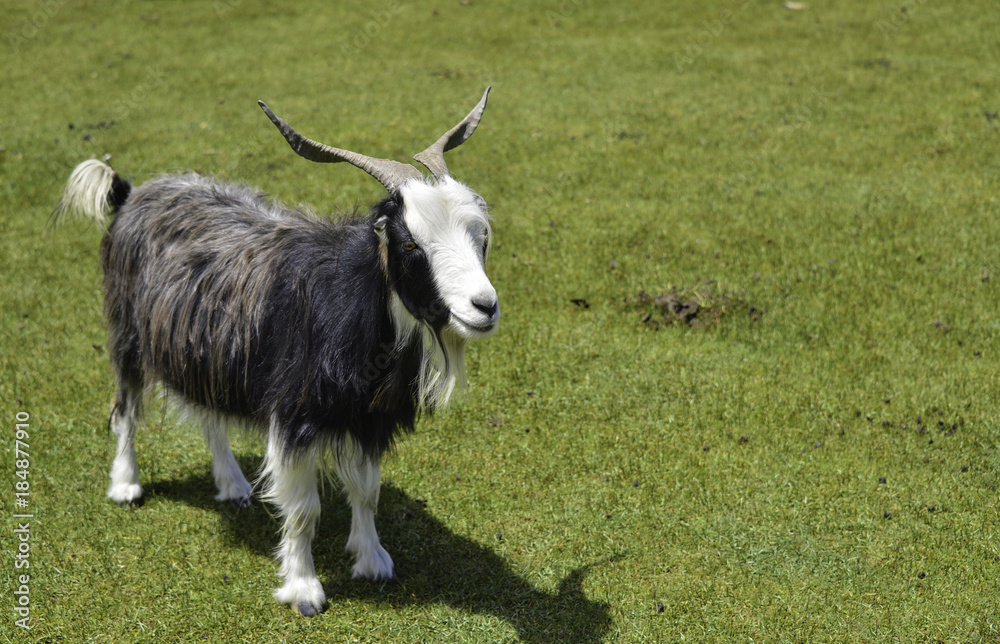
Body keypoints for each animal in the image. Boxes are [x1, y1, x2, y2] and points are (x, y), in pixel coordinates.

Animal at [56, 88, 498, 616]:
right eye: (411, 244)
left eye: (481, 234)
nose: (485, 306)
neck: (344, 297)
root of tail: (132, 194)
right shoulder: (293, 416)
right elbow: (305, 510)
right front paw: (304, 589)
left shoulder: (367, 416)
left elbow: (366, 492)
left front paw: (372, 560)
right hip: (128, 331)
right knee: (126, 404)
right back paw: (126, 484)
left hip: (208, 350)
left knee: (209, 414)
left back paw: (232, 485)